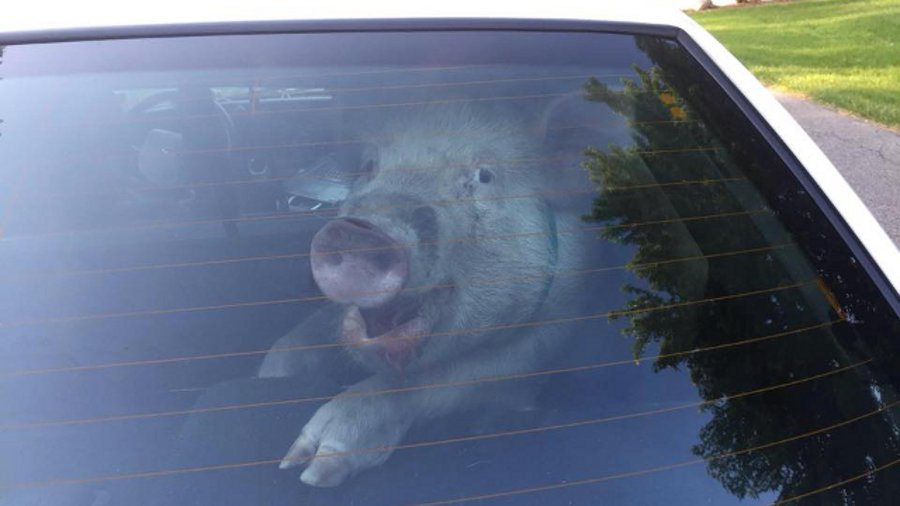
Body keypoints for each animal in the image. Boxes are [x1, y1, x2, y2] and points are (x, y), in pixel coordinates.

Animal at [259, 103, 593, 487]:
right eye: (369, 165)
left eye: (485, 176)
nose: (359, 232)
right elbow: (298, 341)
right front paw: (271, 378)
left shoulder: (555, 327)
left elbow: (459, 377)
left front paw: (310, 469)